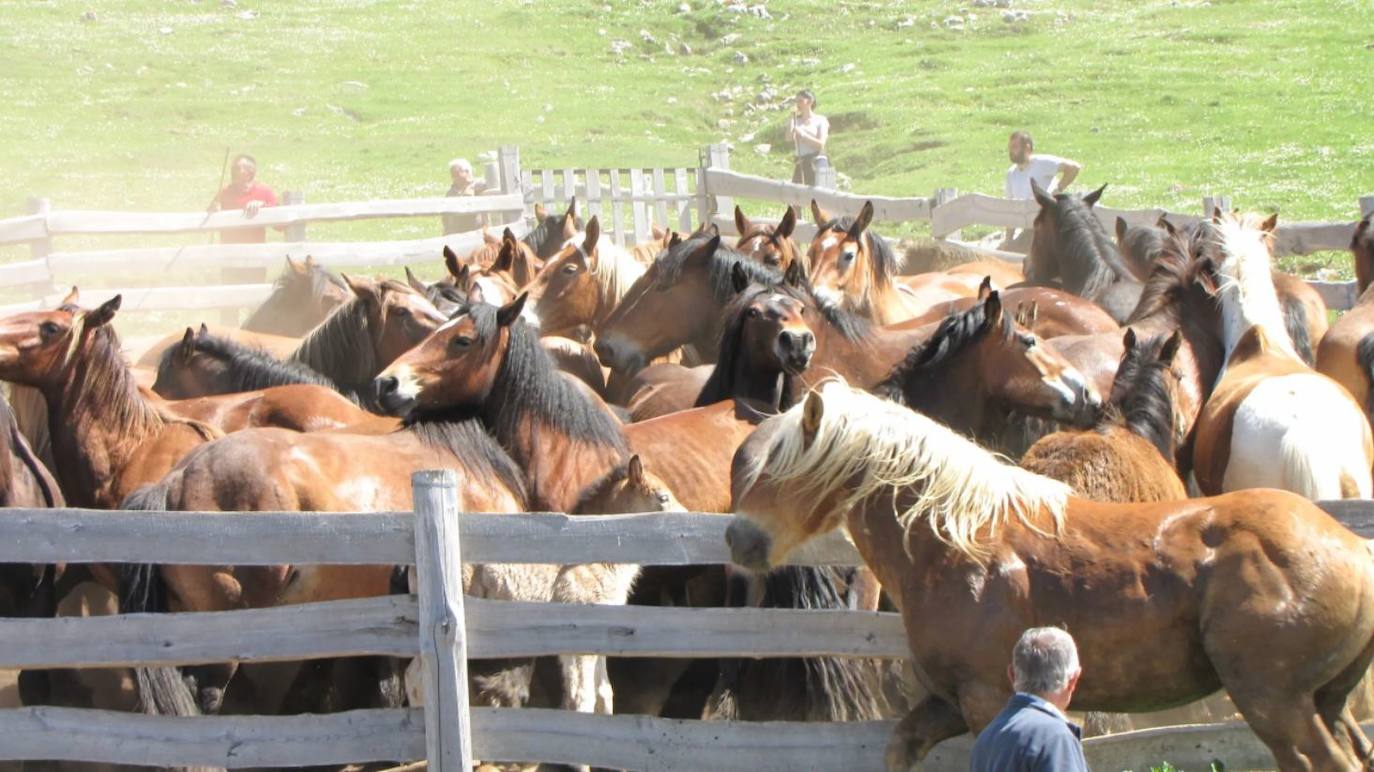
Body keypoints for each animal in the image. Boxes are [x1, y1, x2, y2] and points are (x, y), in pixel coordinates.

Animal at [730, 379, 1374, 769]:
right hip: (1326, 702)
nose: (738, 539)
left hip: (1276, 703)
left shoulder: (987, 699)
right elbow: (900, 748)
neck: (959, 541)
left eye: (782, 467)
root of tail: (1353, 550)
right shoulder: (946, 702)